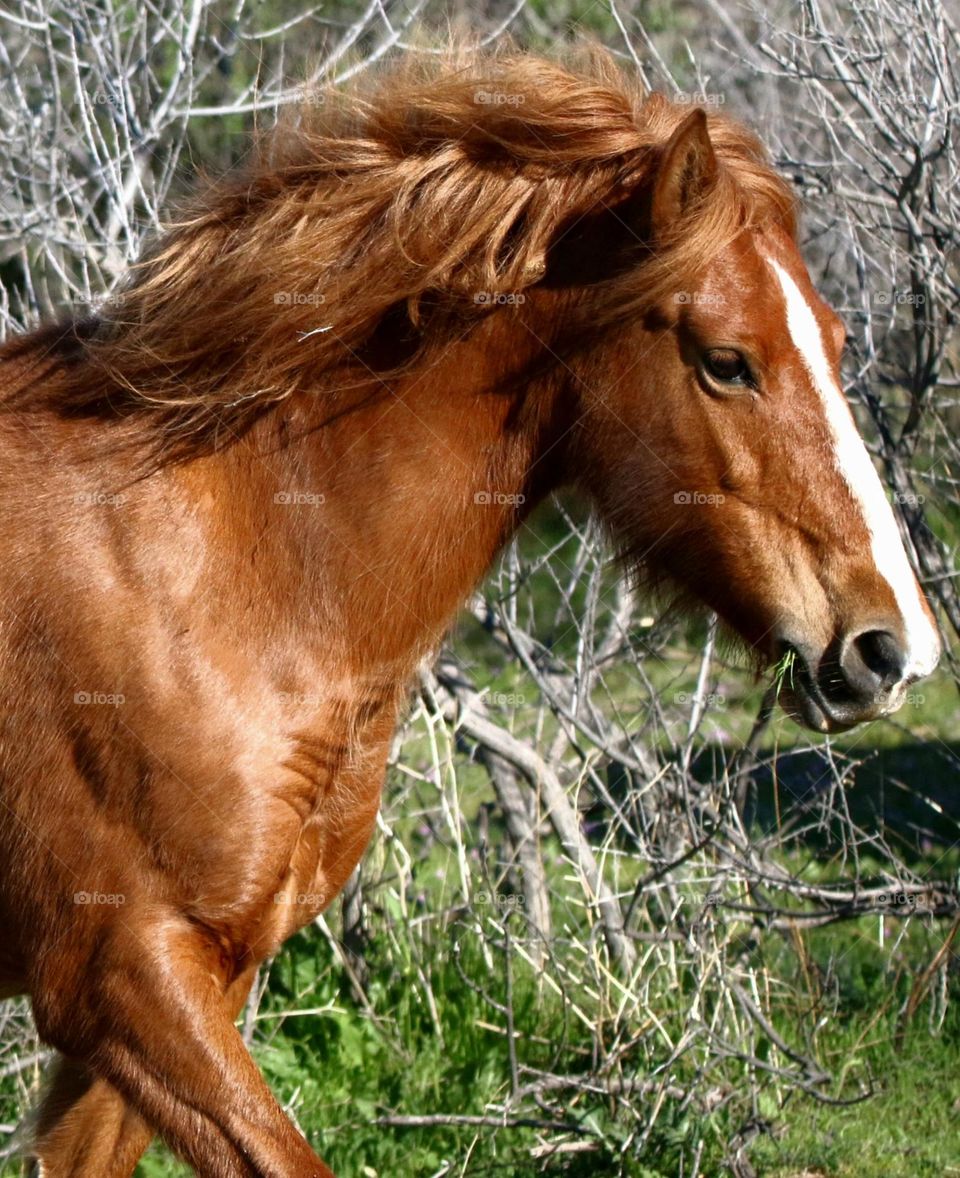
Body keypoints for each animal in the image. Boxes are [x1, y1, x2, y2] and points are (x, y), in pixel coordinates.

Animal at [0, 46, 940, 1178]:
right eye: (727, 360)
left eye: (837, 341)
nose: (893, 647)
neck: (212, 570)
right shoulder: (118, 976)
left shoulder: (188, 984)